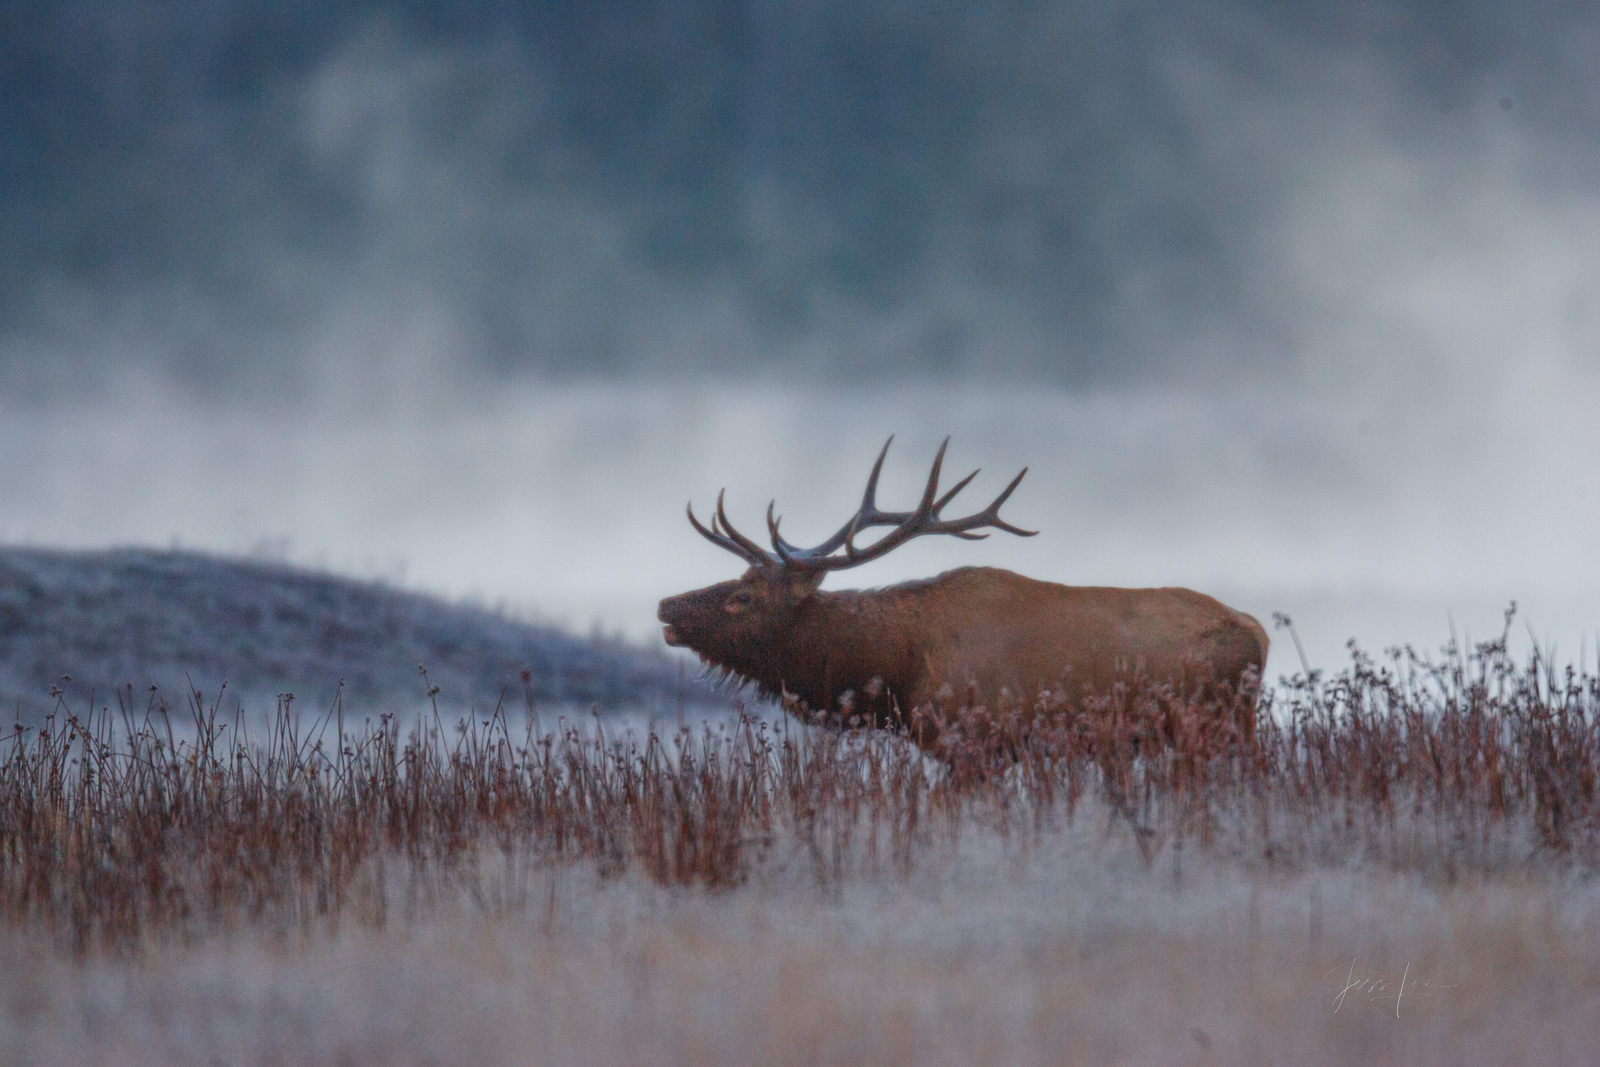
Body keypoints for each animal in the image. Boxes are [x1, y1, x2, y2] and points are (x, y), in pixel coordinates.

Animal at [656, 438, 1267, 748]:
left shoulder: (971, 740)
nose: (665, 604)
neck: (899, 670)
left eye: (743, 599)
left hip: (1216, 725)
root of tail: (1259, 632)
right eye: (739, 584)